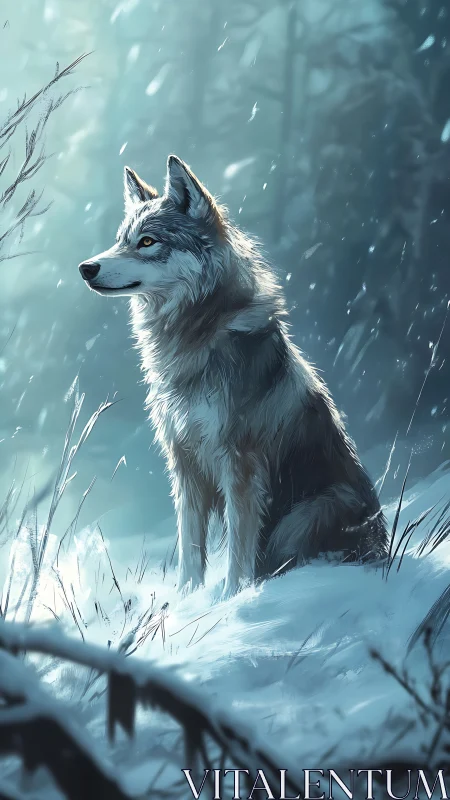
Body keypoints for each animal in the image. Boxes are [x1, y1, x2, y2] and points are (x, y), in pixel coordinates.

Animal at [79, 155, 387, 597]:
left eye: (148, 242)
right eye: (121, 239)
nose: (86, 268)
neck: (197, 337)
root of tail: (384, 545)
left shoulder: (240, 465)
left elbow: (239, 553)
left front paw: (230, 599)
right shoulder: (184, 465)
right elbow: (190, 550)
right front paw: (186, 601)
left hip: (308, 513)